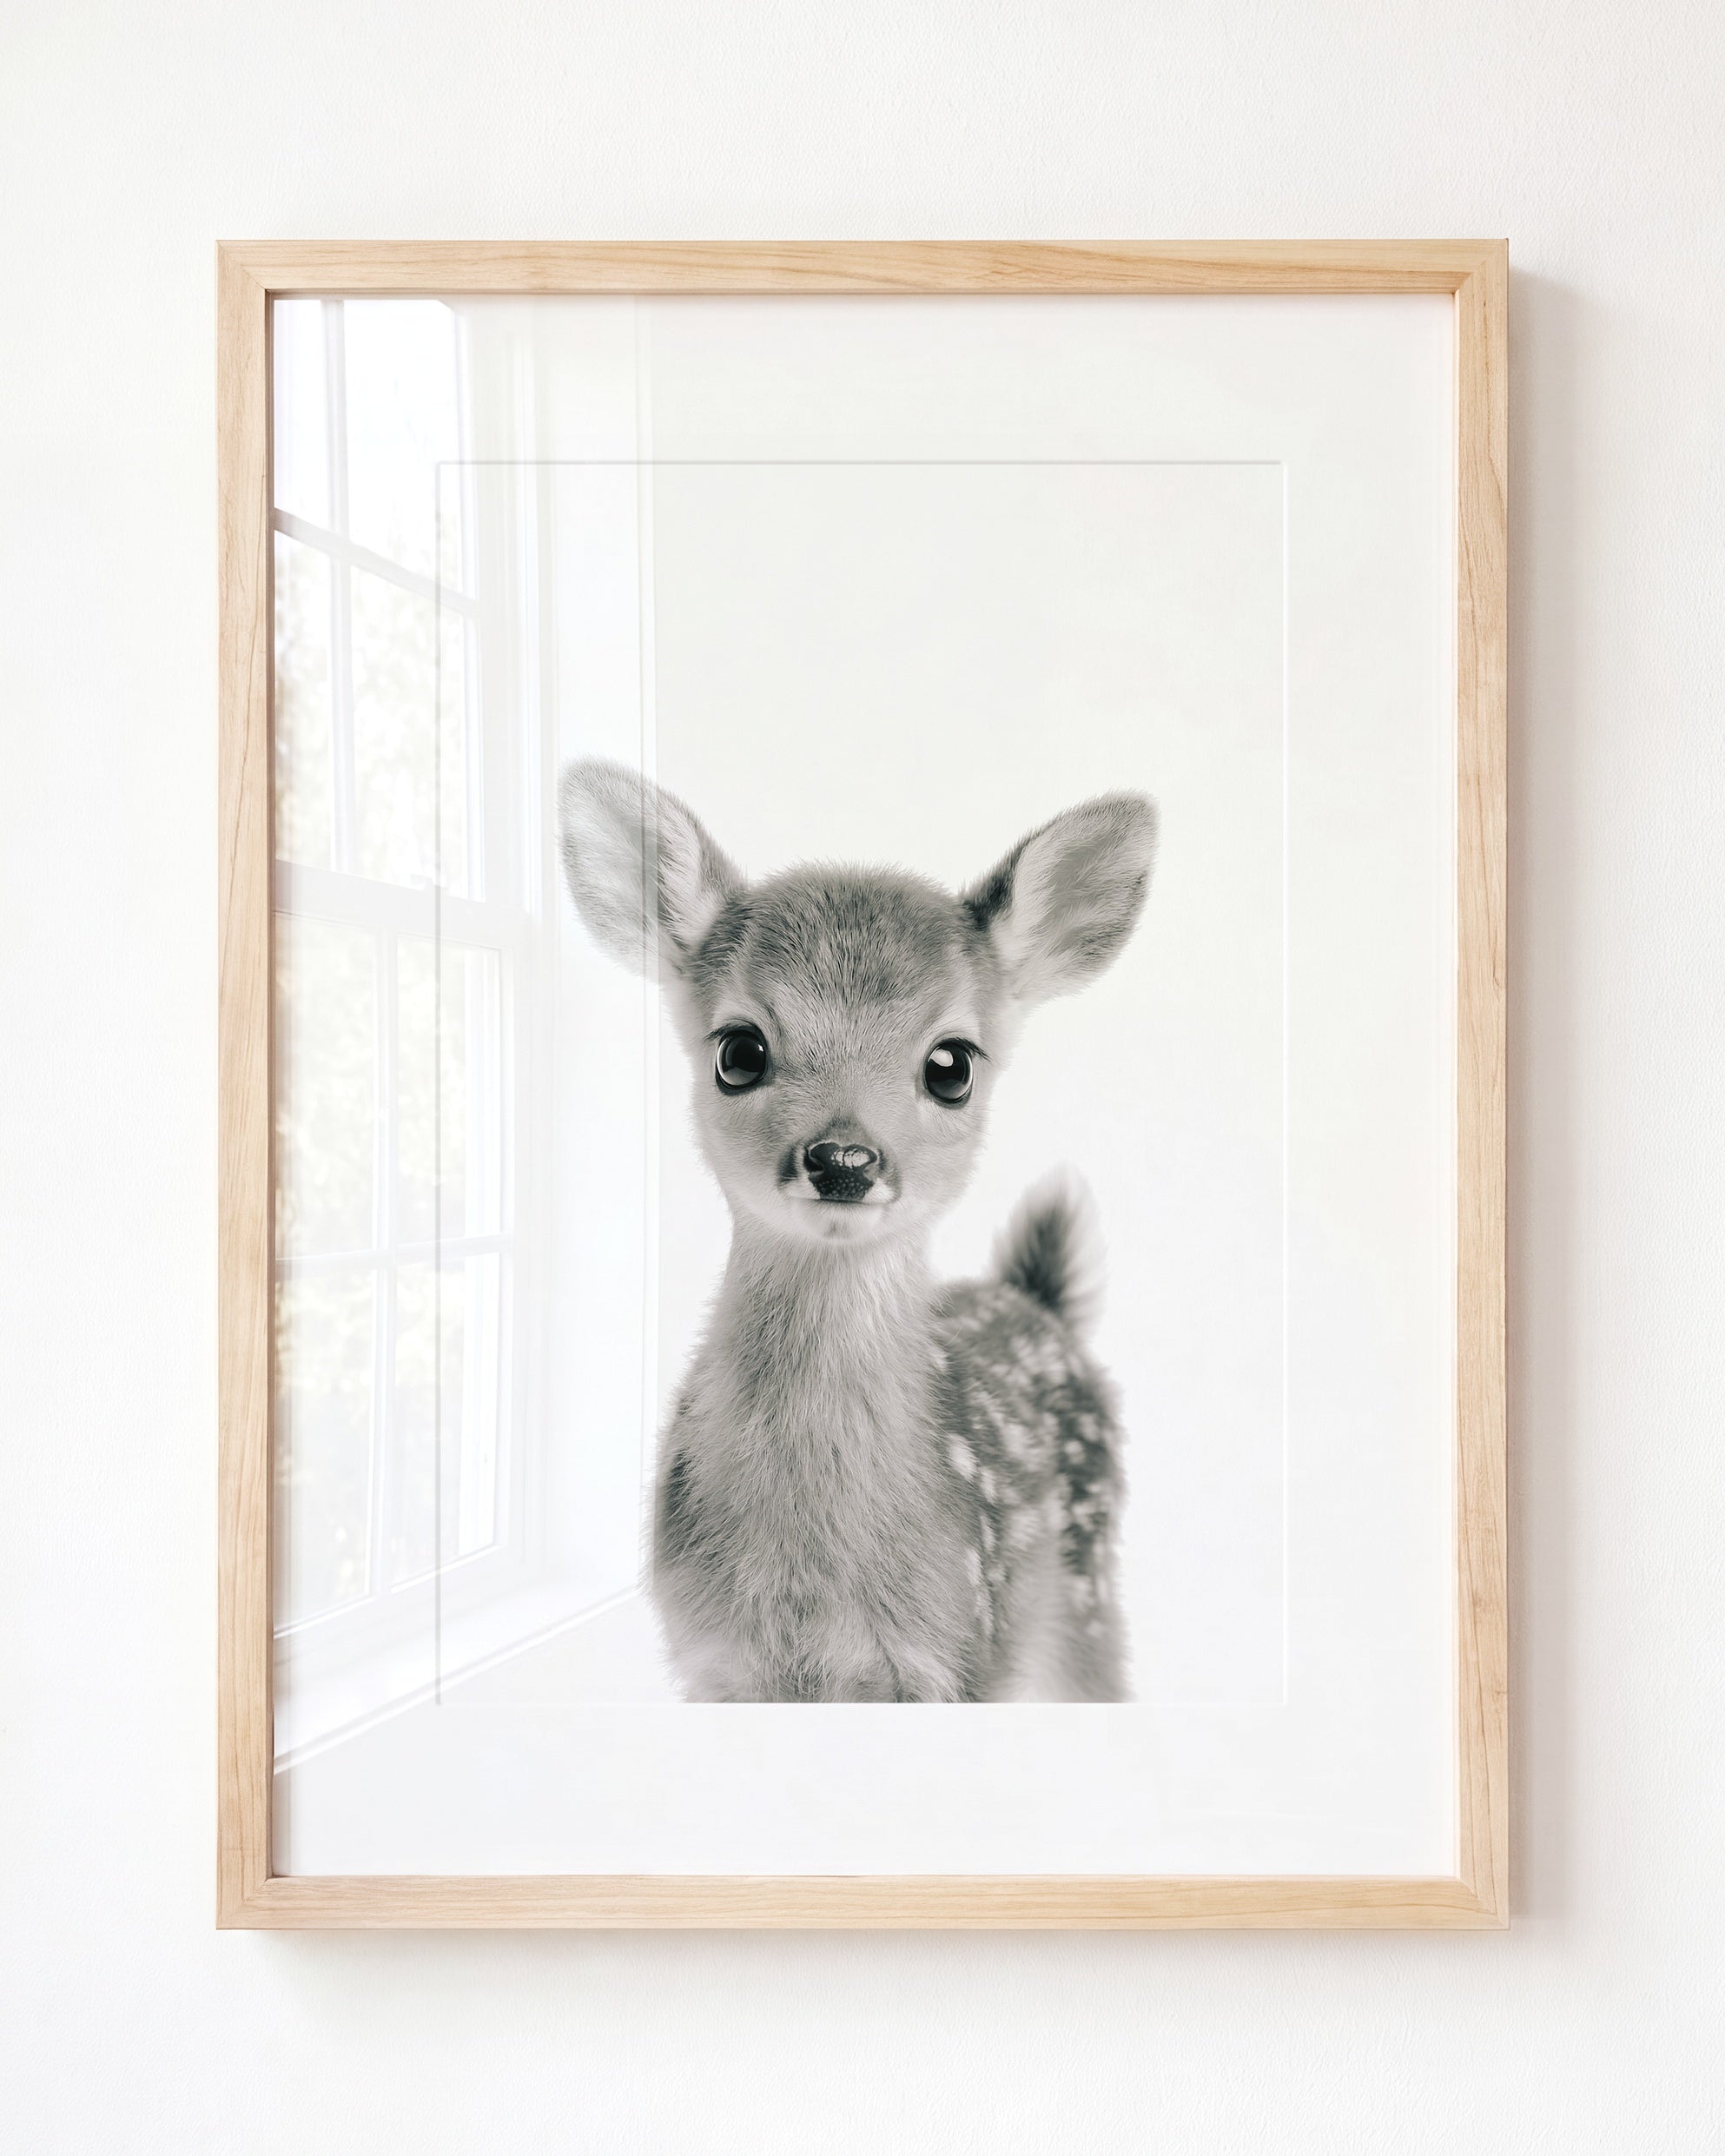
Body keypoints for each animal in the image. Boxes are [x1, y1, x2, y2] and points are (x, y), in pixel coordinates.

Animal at [558, 758, 1157, 1702]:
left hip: (1085, 1602)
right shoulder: (712, 1662)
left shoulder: (957, 1652)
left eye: (952, 1065)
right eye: (738, 1051)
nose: (843, 1158)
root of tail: (1038, 1302)